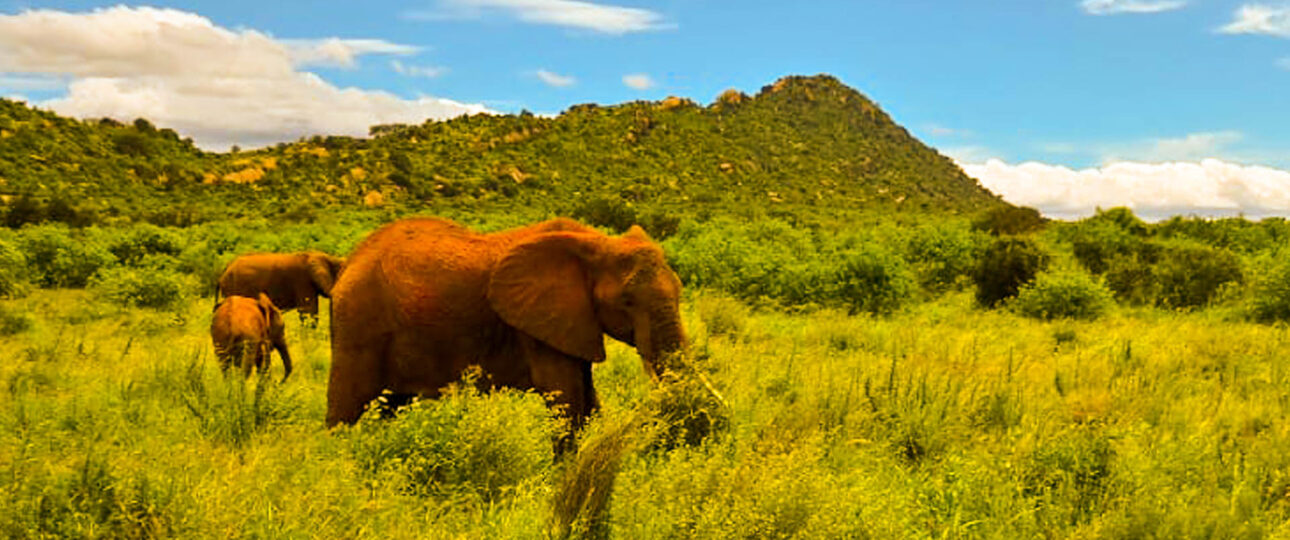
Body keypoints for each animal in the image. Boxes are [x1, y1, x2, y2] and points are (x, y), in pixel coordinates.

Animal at [326, 217, 688, 433]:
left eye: (680, 289)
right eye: (626, 301)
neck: (597, 242)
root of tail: (348, 262)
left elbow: (588, 401)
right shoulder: (538, 325)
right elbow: (566, 400)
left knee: (388, 406)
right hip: (357, 322)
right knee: (347, 408)